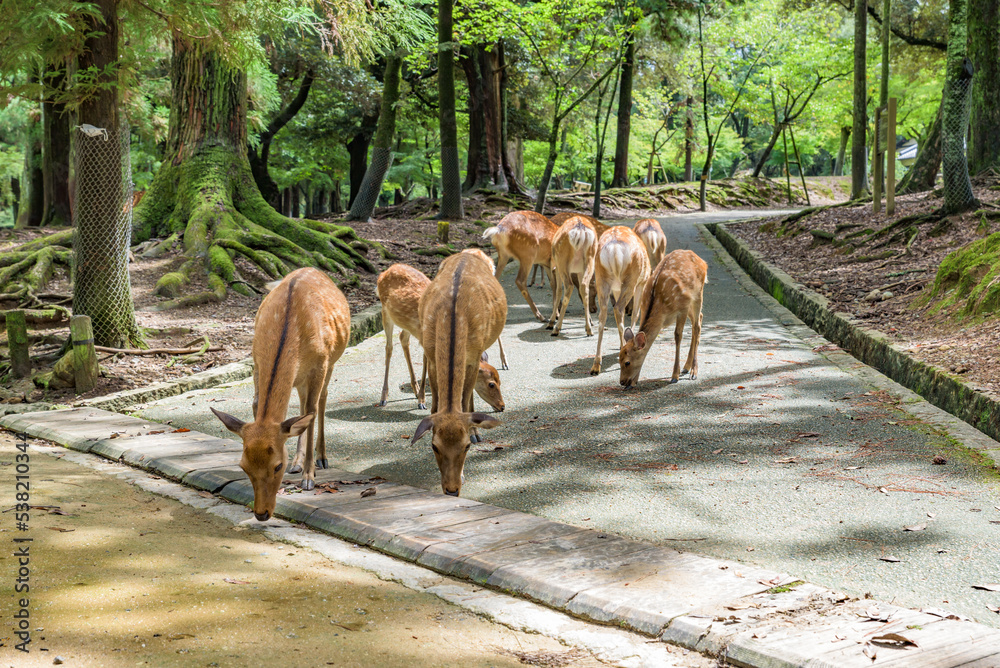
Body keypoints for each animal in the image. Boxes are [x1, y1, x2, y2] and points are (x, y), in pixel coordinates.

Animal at [209, 268, 350, 520]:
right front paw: (299, 466)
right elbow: (258, 405)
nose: (261, 513)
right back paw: (298, 462)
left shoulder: (320, 364)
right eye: (243, 466)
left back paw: (321, 458)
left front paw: (308, 478)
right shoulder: (256, 363)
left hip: (331, 362)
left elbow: (312, 411)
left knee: (320, 402)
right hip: (301, 379)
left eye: (277, 466)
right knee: (303, 406)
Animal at [376, 260, 504, 412]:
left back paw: (415, 389)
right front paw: (422, 401)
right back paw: (384, 397)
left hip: (408, 326)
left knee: (403, 338)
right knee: (389, 347)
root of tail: (385, 271)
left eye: (500, 381)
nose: (502, 406)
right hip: (385, 313)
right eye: (491, 384)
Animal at [412, 250, 508, 496]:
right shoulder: (432, 356)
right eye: (434, 446)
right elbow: (436, 406)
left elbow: (464, 402)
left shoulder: (473, 357)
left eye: (465, 447)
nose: (452, 489)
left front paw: (474, 431)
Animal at [588, 227, 652, 376]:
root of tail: (614, 249)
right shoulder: (642, 282)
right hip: (631, 280)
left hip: (602, 278)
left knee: (604, 314)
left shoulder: (616, 289)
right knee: (619, 309)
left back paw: (596, 364)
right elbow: (636, 314)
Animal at [616, 249, 712, 386]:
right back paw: (686, 367)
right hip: (691, 302)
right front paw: (635, 380)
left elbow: (678, 336)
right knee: (699, 318)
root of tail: (702, 261)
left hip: (697, 294)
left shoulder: (682, 308)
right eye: (619, 358)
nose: (622, 382)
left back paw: (694, 371)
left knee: (697, 327)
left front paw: (674, 376)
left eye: (627, 362)